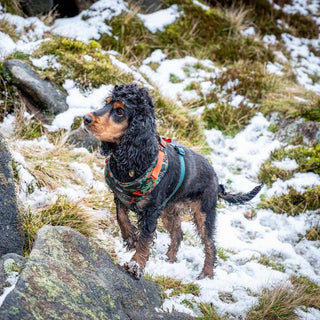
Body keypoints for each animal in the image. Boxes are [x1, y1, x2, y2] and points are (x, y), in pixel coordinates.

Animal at [83, 83, 262, 280]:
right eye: (106, 103)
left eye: (120, 111)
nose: (86, 118)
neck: (134, 159)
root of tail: (217, 179)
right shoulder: (121, 196)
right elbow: (121, 217)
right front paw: (130, 237)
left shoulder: (151, 211)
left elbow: (145, 240)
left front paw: (136, 265)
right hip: (169, 210)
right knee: (178, 233)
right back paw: (170, 257)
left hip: (203, 212)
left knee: (210, 244)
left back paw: (206, 273)